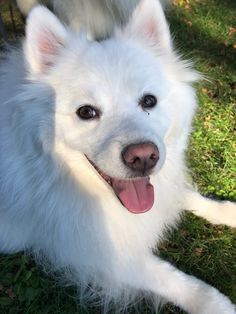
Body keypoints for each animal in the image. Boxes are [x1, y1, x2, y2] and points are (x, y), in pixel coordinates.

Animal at [0, 1, 235, 312]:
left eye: (149, 101)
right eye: (86, 112)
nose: (144, 157)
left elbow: (186, 195)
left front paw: (227, 211)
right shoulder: (99, 253)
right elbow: (181, 282)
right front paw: (219, 305)